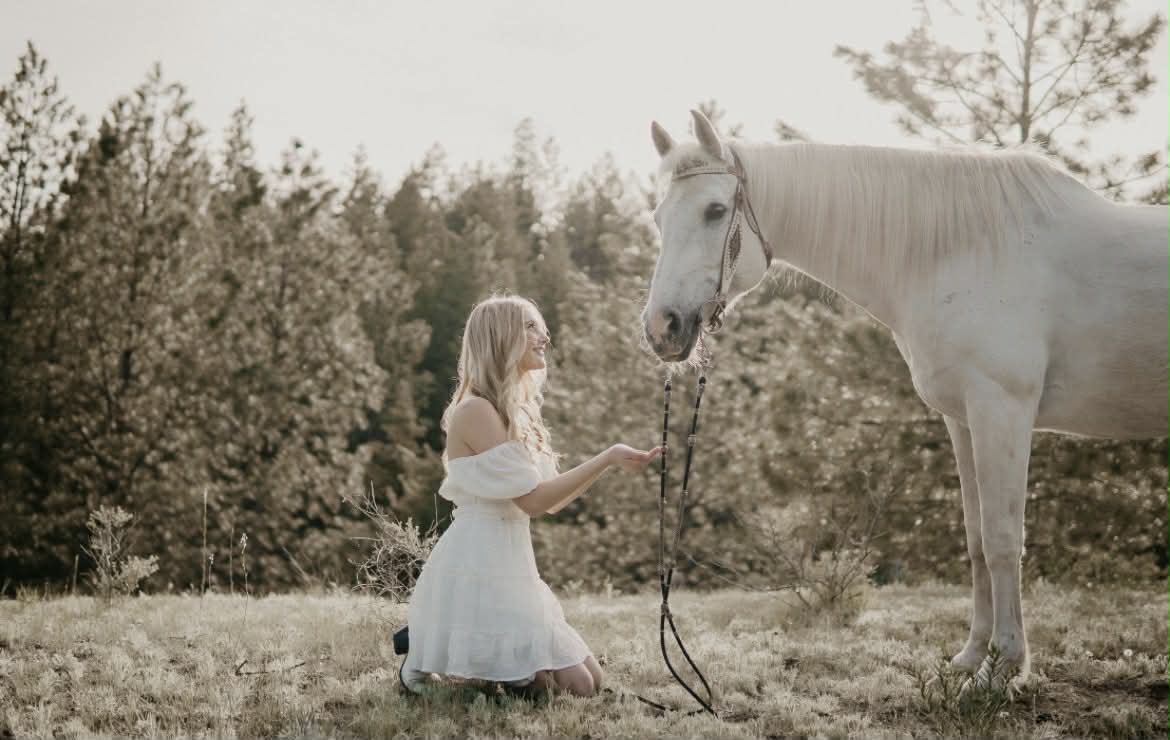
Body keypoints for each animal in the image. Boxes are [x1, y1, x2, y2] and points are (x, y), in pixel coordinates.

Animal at [641, 109, 1170, 689]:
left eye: (715, 210)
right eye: (658, 218)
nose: (661, 328)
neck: (964, 250)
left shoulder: (1002, 411)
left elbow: (1004, 538)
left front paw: (1004, 665)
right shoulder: (964, 420)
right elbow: (976, 539)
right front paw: (971, 657)